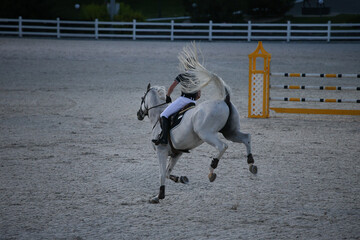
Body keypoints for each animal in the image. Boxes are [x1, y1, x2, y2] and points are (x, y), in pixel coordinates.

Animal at [136, 44, 258, 202]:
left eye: (142, 98)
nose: (138, 114)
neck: (158, 116)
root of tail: (224, 99)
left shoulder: (161, 151)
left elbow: (162, 174)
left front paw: (158, 196)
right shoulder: (176, 153)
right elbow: (168, 173)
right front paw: (181, 179)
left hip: (206, 134)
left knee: (223, 146)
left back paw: (212, 170)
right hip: (230, 132)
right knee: (246, 137)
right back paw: (251, 164)